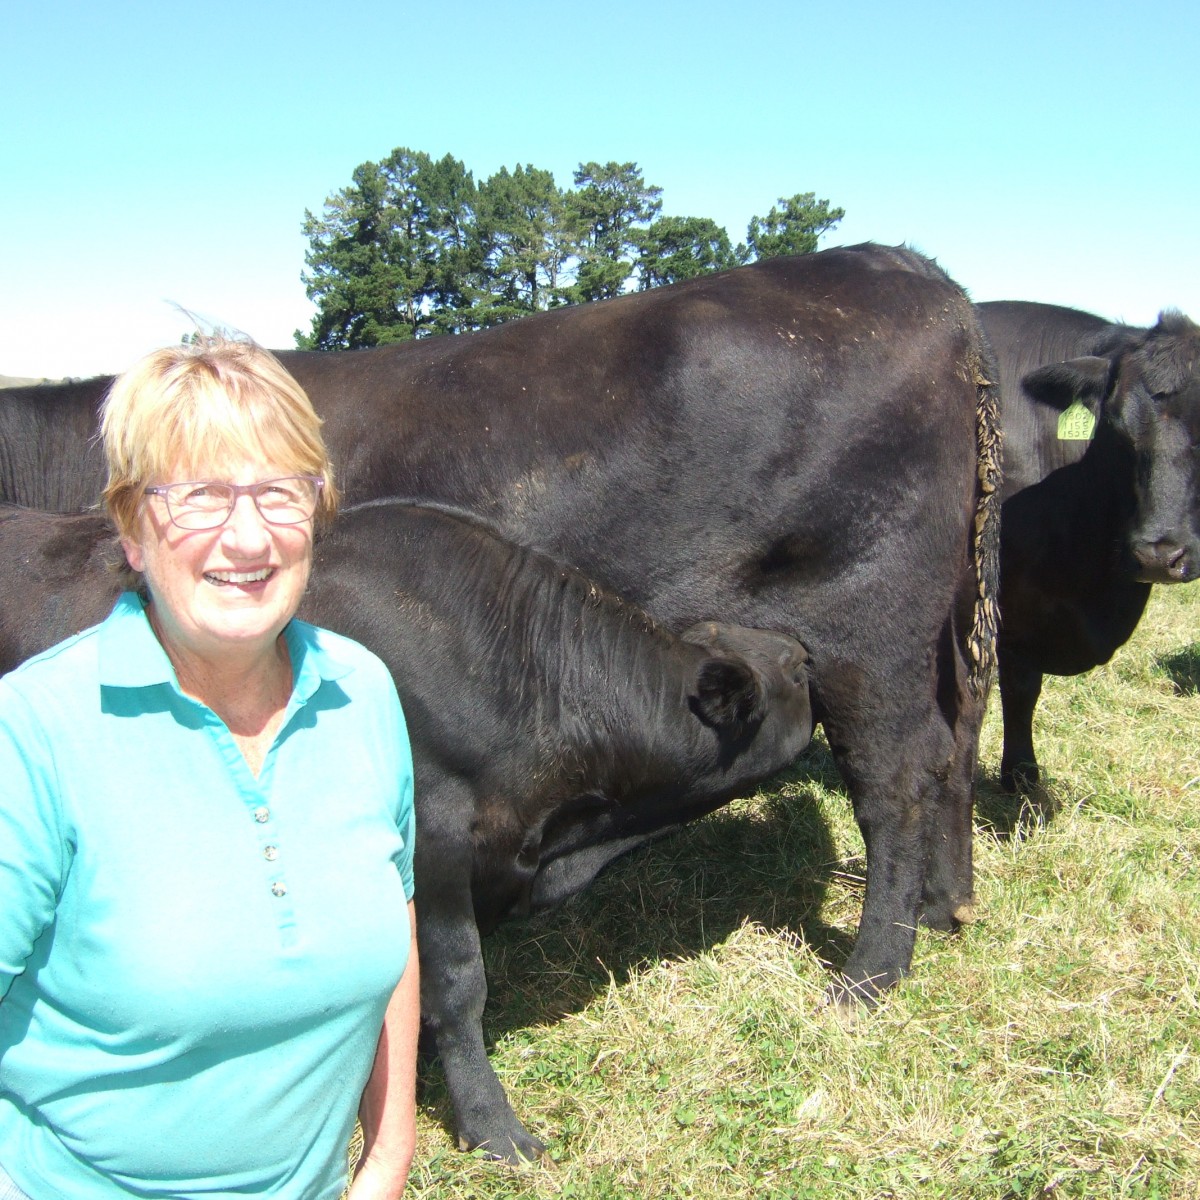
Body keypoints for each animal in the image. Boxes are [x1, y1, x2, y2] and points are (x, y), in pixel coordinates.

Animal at [0, 246, 1003, 1012]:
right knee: (955, 737)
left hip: (866, 628)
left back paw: (872, 972)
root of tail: (906, 267)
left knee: (895, 780)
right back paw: (946, 905)